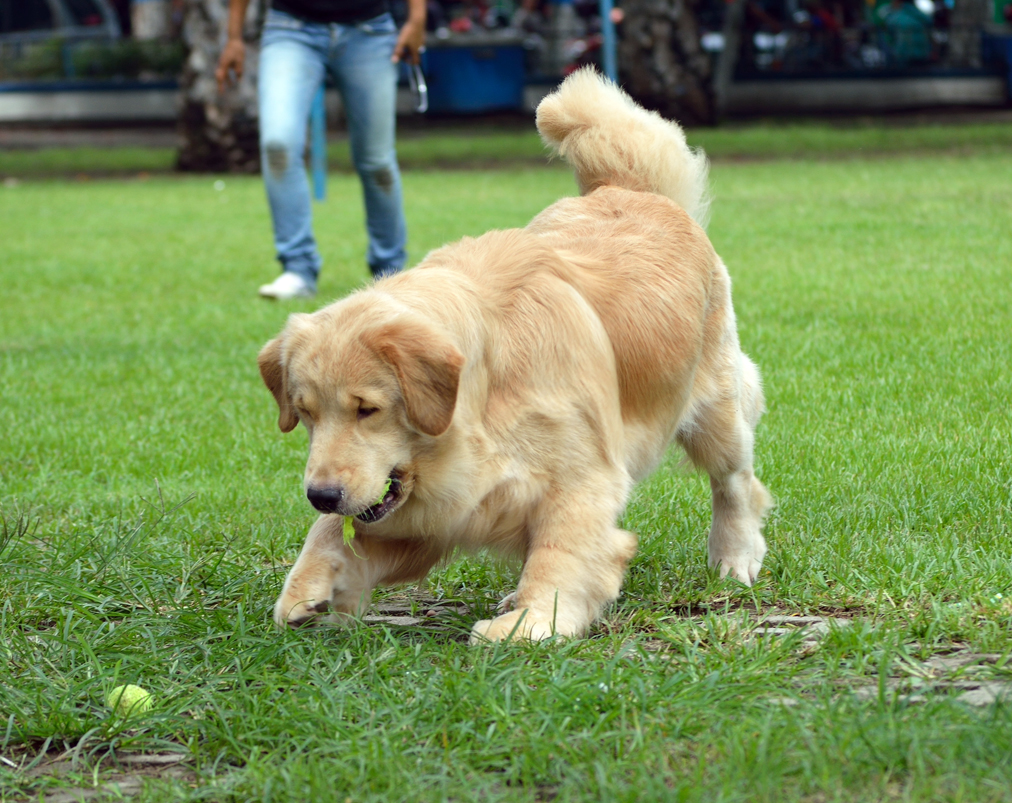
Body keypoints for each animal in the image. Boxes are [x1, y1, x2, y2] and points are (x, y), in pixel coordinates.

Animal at [257, 70, 769, 644]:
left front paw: (532, 621)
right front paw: (307, 588)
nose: (320, 493)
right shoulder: (430, 506)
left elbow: (562, 550)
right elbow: (333, 530)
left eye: (368, 409)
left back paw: (735, 557)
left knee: (735, 483)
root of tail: (627, 188)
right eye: (305, 414)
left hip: (715, 411)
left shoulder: (581, 474)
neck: (483, 390)